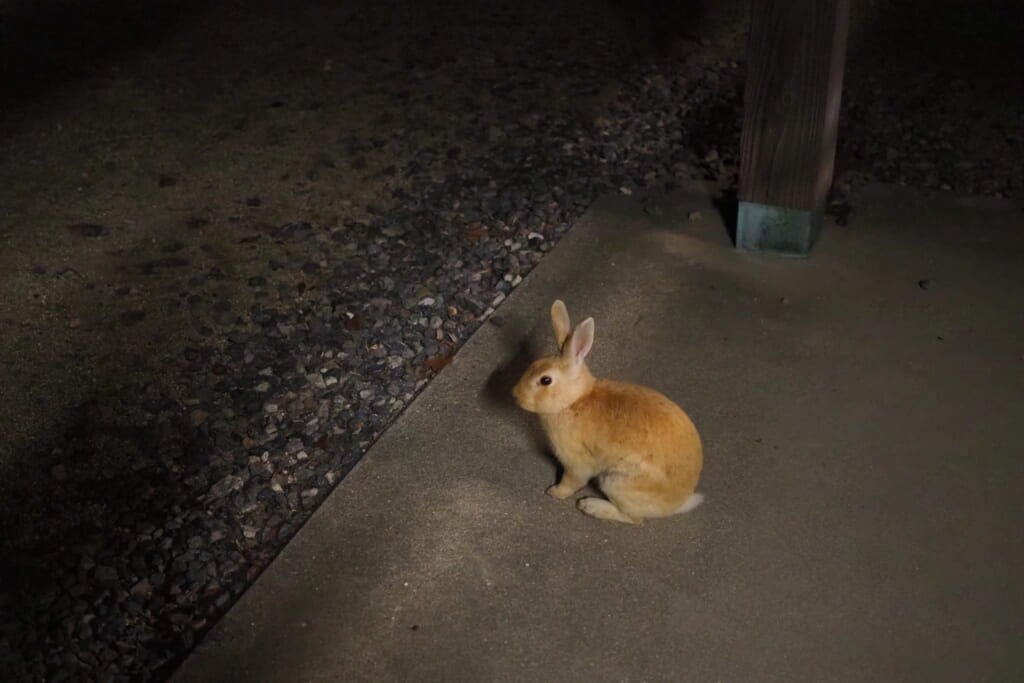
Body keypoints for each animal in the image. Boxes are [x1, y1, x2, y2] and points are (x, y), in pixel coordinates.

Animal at [512, 299, 704, 524]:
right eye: (533, 364)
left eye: (545, 380)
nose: (515, 395)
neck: (574, 400)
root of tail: (675, 505)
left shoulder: (577, 462)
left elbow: (572, 481)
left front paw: (554, 492)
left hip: (615, 482)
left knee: (635, 519)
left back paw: (590, 506)